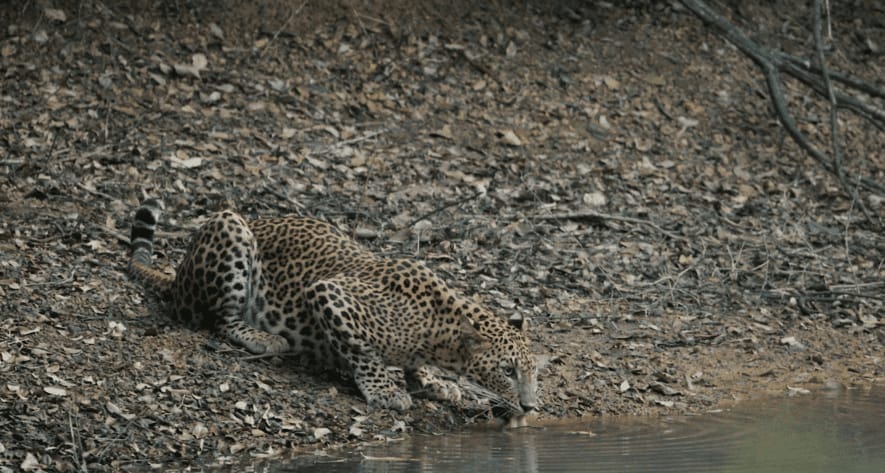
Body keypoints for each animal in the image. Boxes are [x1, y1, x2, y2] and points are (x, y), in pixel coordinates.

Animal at [128, 199, 540, 417]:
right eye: (507, 371)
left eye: (533, 372)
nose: (531, 408)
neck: (439, 334)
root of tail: (178, 276)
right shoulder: (330, 294)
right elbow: (361, 351)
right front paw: (386, 390)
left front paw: (434, 383)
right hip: (231, 229)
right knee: (218, 318)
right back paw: (262, 337)